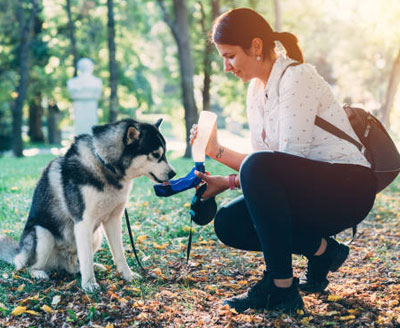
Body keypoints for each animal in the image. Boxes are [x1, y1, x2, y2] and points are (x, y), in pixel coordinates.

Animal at [0, 118, 175, 292]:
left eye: (165, 153)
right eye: (156, 154)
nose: (173, 173)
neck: (105, 164)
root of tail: (19, 253)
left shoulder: (113, 220)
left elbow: (119, 254)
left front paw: (128, 276)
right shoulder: (83, 222)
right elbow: (86, 258)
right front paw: (89, 284)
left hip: (96, 235)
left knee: (75, 265)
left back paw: (92, 267)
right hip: (43, 234)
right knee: (29, 266)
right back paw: (38, 273)